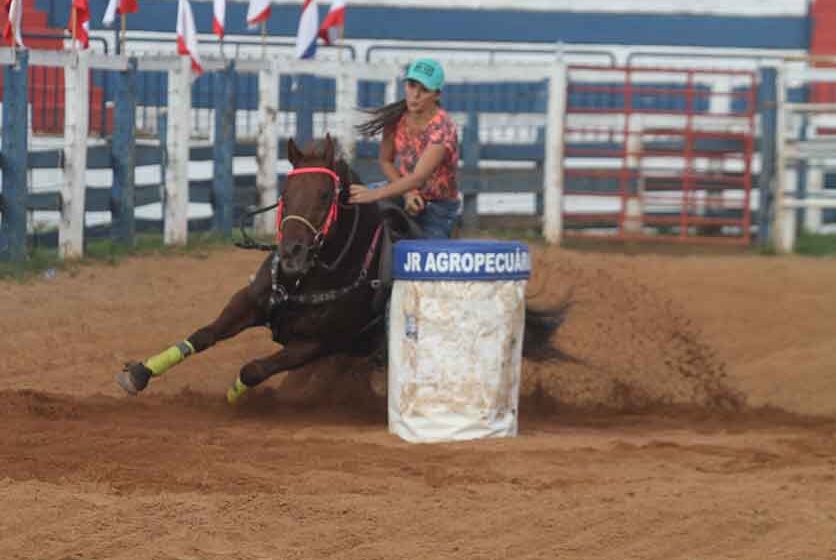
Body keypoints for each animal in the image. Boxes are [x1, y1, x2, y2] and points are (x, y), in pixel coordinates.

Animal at [114, 132, 564, 402]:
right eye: (287, 189)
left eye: (326, 194)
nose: (292, 252)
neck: (309, 276)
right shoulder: (250, 301)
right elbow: (203, 335)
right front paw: (139, 373)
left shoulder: (317, 344)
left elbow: (254, 367)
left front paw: (237, 396)